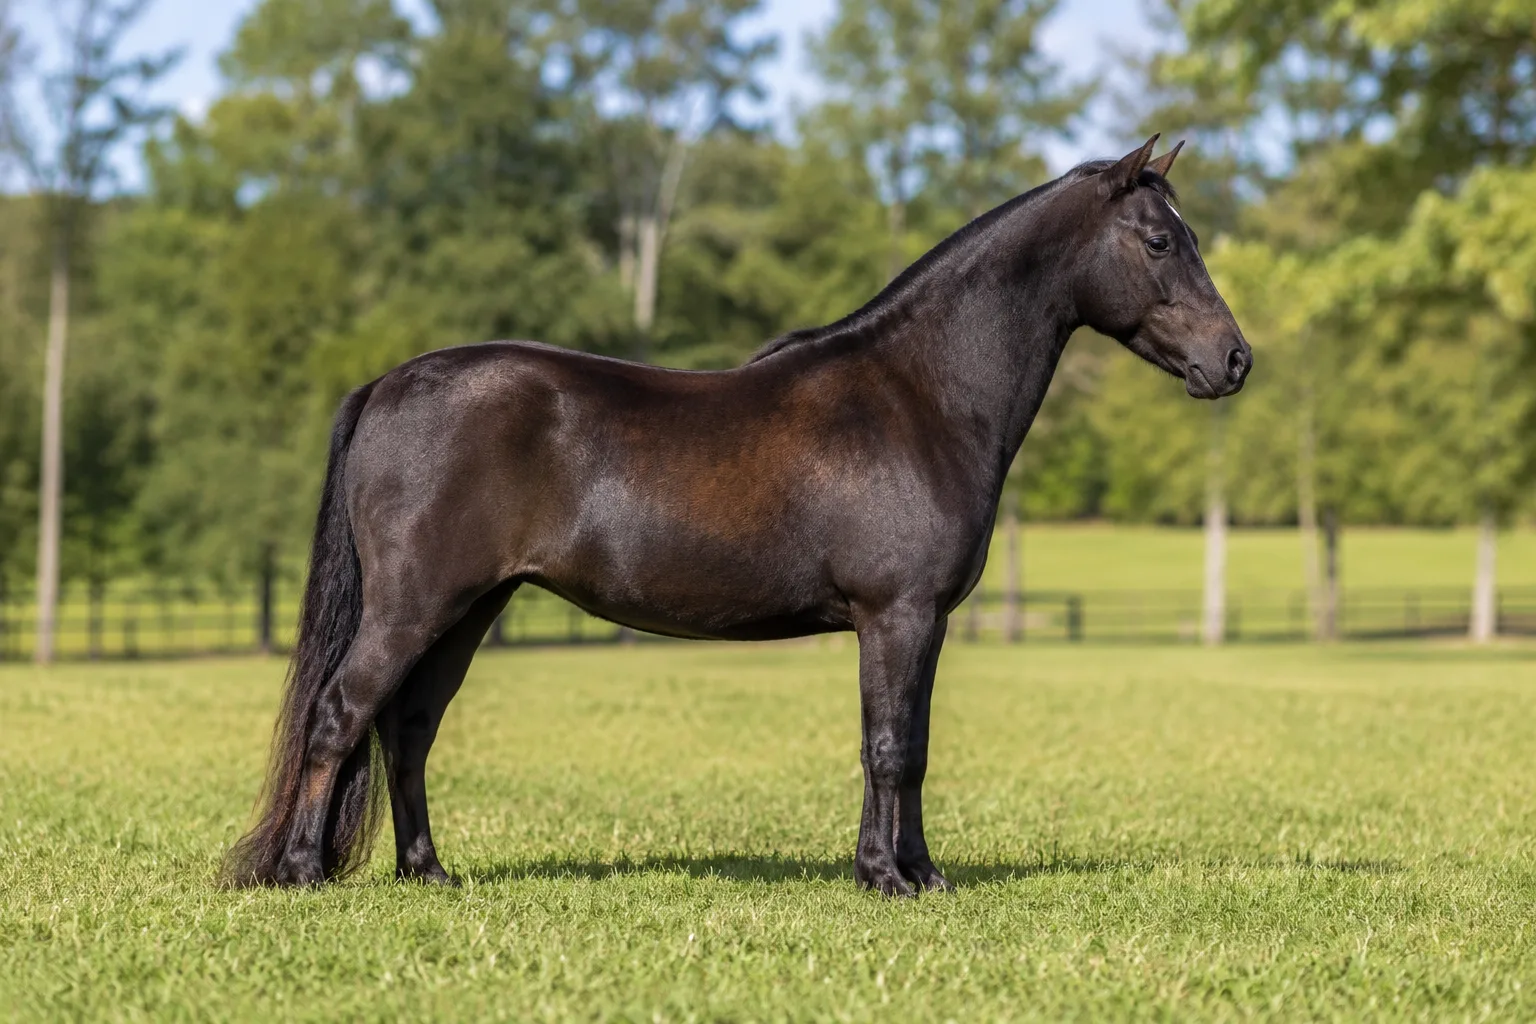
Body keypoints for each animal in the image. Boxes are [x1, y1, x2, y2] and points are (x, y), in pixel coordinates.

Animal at [222, 135, 1251, 896]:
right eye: (1161, 242)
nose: (1235, 360)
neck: (918, 394)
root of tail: (390, 383)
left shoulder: (918, 625)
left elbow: (906, 745)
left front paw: (914, 872)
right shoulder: (898, 615)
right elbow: (891, 747)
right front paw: (889, 879)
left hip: (468, 610)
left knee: (407, 729)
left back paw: (428, 873)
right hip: (412, 606)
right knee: (339, 714)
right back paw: (303, 871)